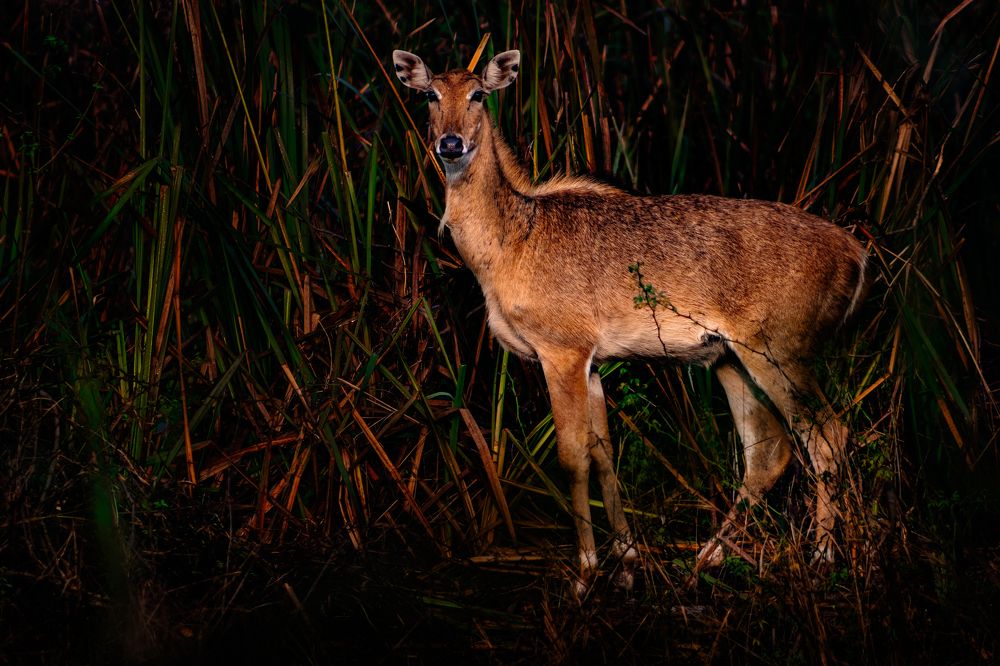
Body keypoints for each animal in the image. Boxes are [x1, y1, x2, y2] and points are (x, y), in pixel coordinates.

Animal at [393, 48, 867, 596]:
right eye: (430, 95)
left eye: (477, 94)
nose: (450, 144)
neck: (507, 247)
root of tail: (858, 258)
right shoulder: (595, 361)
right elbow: (604, 452)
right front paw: (627, 557)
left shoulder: (562, 347)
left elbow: (572, 456)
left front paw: (584, 571)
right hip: (728, 356)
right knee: (768, 449)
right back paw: (707, 555)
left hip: (780, 345)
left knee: (827, 433)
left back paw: (822, 556)